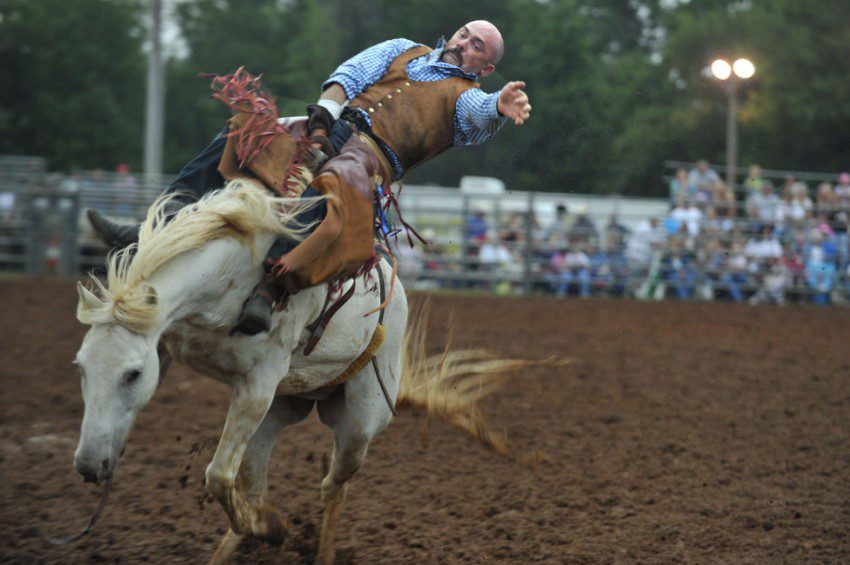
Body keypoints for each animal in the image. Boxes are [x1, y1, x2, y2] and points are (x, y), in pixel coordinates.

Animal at [71, 182, 406, 564]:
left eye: (133, 374)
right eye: (81, 366)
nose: (87, 464)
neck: (228, 280)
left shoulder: (258, 386)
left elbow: (218, 475)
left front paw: (273, 528)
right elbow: (229, 479)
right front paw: (268, 526)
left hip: (360, 424)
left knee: (333, 487)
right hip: (278, 410)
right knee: (255, 483)